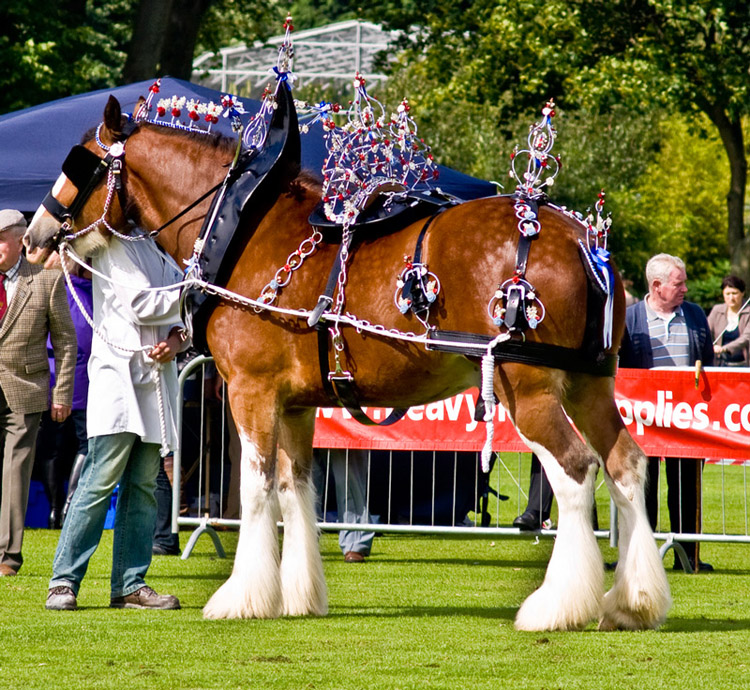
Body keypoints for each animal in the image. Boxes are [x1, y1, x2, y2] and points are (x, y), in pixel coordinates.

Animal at [23, 95, 672, 628]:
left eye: (82, 161)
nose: (33, 235)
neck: (245, 224)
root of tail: (583, 242)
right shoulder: (296, 405)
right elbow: (296, 489)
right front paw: (296, 596)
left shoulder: (251, 391)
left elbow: (256, 488)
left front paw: (241, 597)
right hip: (588, 385)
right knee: (625, 464)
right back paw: (632, 601)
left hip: (529, 388)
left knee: (576, 471)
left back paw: (557, 606)